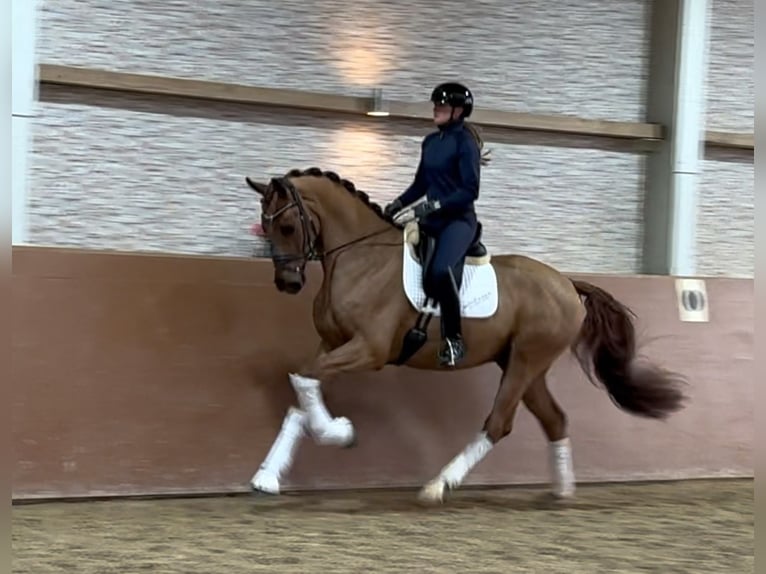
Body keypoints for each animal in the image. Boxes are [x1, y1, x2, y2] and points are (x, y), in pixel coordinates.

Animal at [248, 165, 688, 504]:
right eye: (265, 227)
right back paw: (562, 491)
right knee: (555, 420)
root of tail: (566, 284)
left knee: (499, 424)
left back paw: (438, 486)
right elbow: (301, 391)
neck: (360, 258)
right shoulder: (333, 344)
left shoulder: (368, 350)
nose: (288, 283)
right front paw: (267, 476)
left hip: (525, 361)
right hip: (524, 366)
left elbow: (304, 382)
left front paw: (339, 433)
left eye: (287, 225)